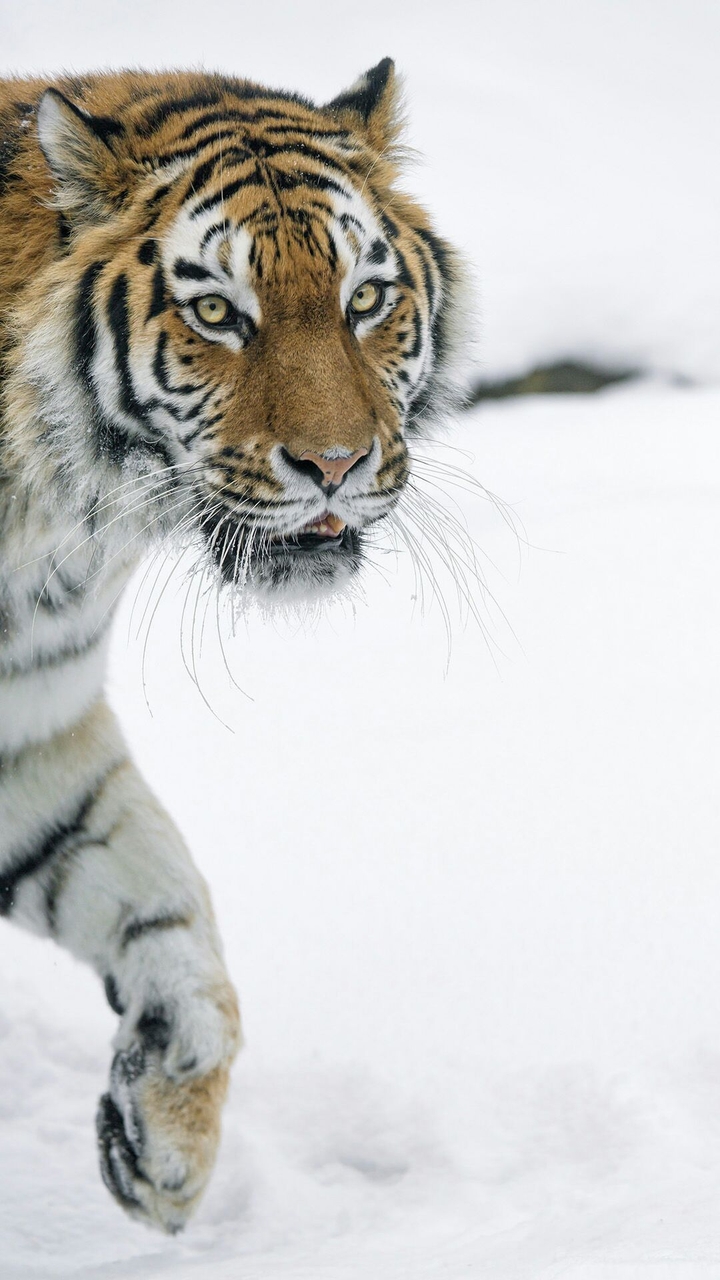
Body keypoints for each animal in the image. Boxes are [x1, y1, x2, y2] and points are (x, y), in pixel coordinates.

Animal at [0, 59, 468, 1232]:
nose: (337, 466)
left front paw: (167, 1138)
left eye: (365, 300)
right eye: (217, 311)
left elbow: (167, 905)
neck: (52, 521)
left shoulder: (33, 731)